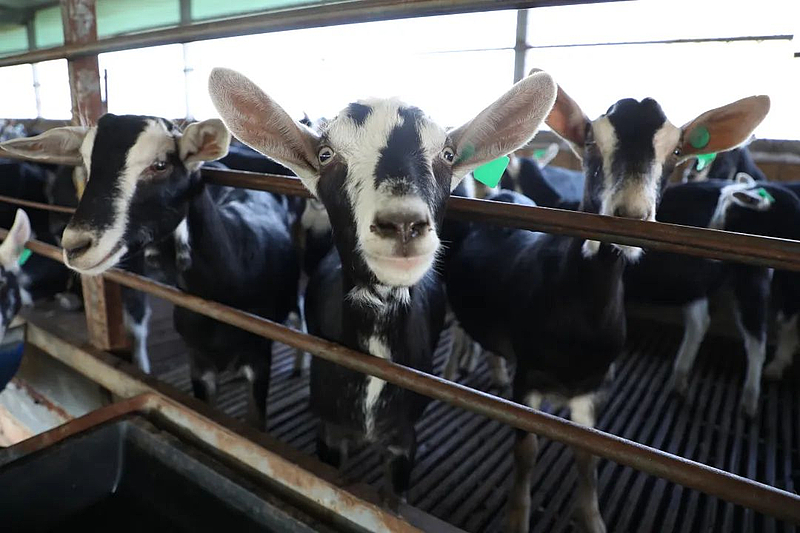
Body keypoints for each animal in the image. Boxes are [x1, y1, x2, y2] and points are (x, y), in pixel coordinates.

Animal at [444, 72, 770, 533]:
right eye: (590, 141)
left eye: (676, 151)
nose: (628, 217)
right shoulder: (530, 380)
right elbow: (526, 454)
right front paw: (517, 518)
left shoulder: (592, 388)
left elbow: (588, 454)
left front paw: (592, 519)